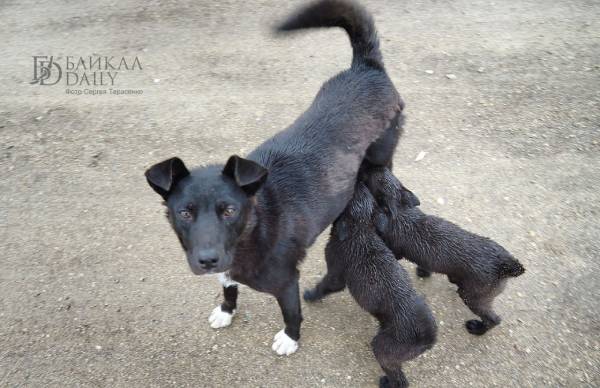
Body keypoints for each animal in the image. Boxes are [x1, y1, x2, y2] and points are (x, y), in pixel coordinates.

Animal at [144, 0, 404, 356]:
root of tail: (368, 68)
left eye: (229, 210)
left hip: (382, 157)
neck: (256, 225)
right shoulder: (226, 269)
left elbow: (291, 312)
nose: (207, 260)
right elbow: (228, 287)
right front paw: (226, 311)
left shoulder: (286, 282)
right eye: (184, 212)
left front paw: (290, 338)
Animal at [304, 184, 436, 388]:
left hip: (384, 349)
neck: (360, 230)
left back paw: (386, 382)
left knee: (400, 379)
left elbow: (323, 287)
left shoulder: (335, 275)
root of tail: (428, 336)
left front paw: (310, 295)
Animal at [360, 168, 524, 334]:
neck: (401, 211)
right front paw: (423, 272)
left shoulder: (395, 251)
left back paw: (477, 329)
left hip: (473, 298)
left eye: (372, 177)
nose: (369, 166)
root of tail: (505, 266)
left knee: (493, 319)